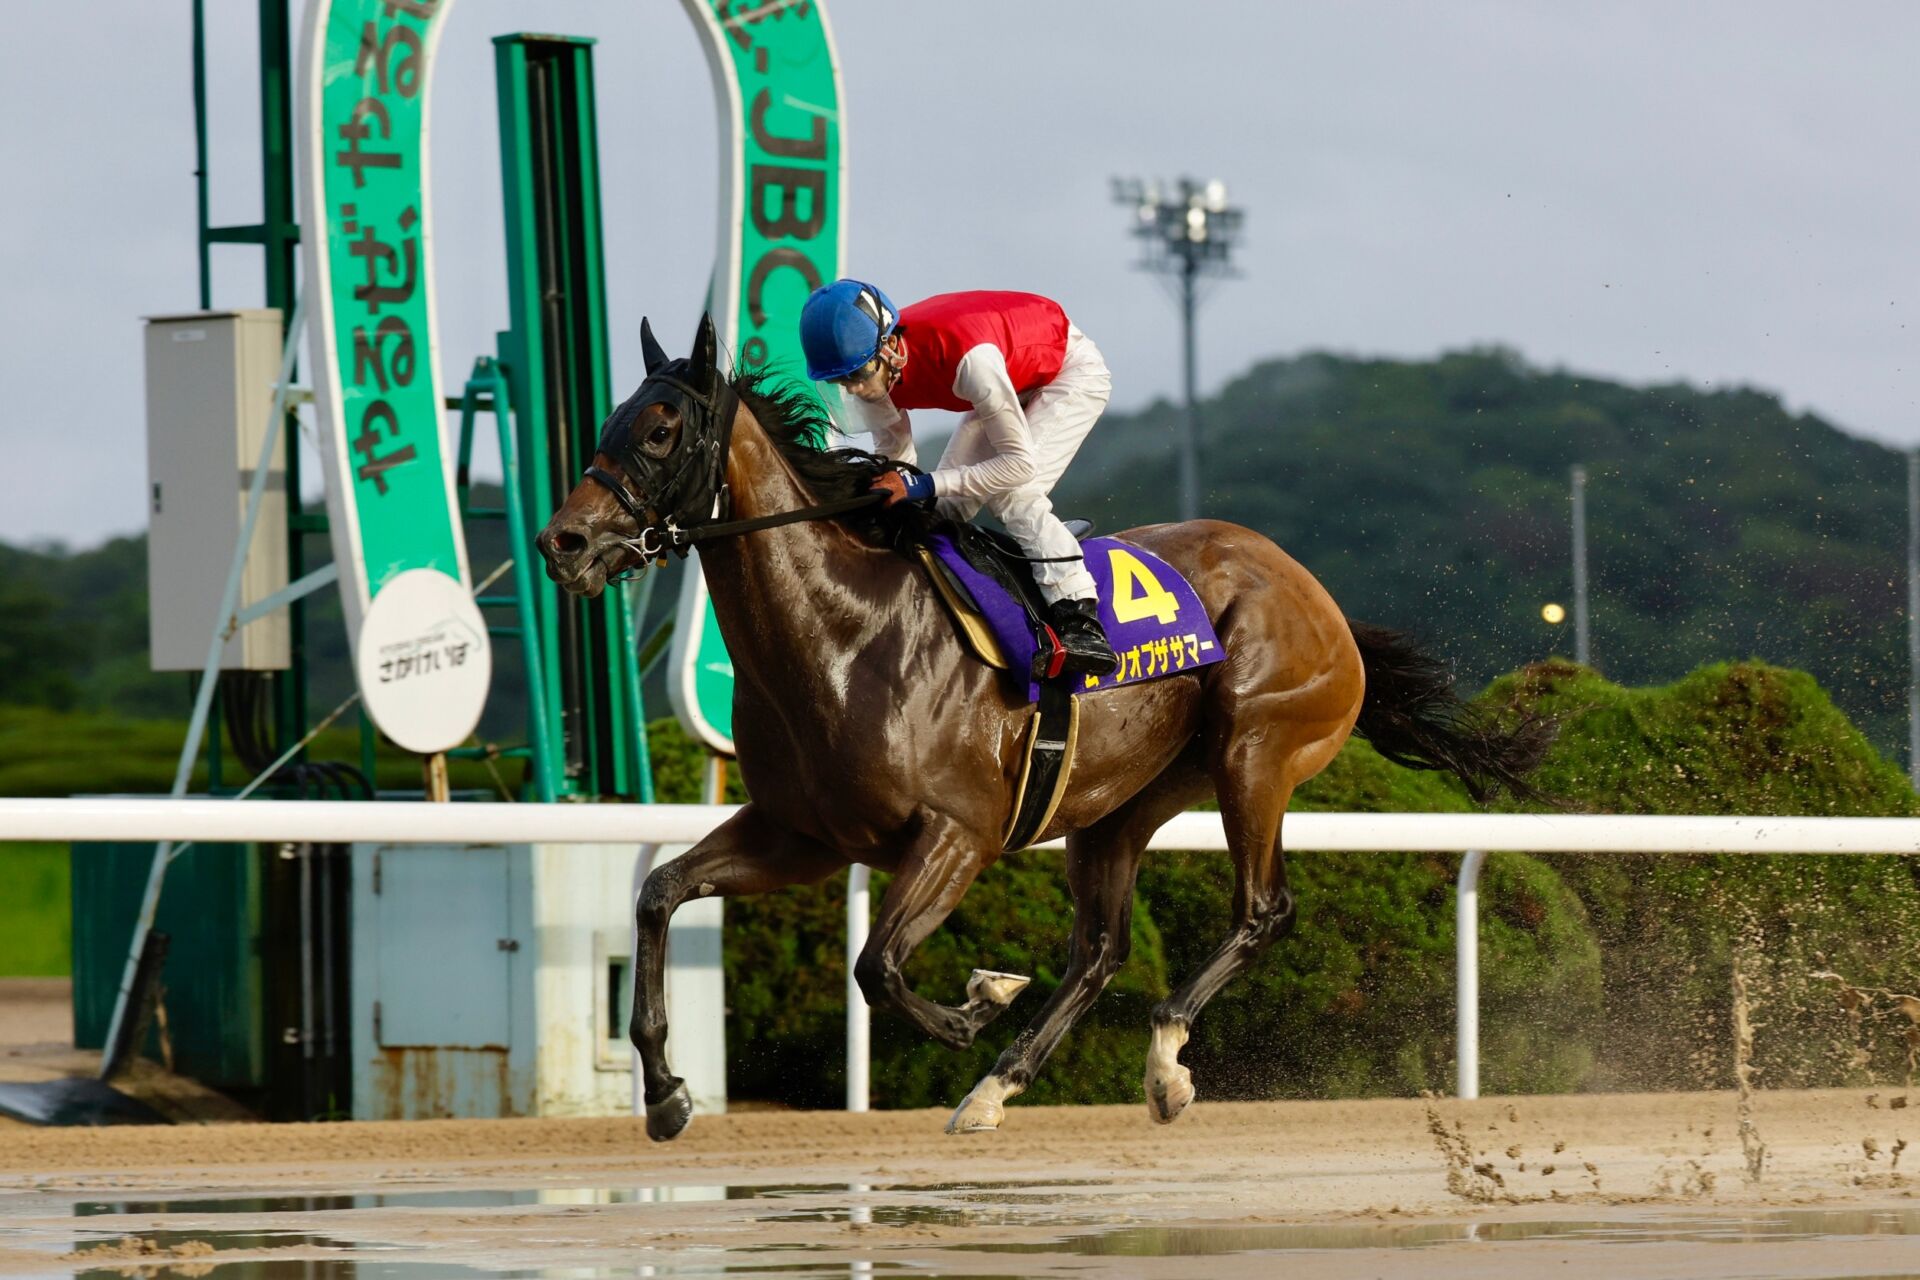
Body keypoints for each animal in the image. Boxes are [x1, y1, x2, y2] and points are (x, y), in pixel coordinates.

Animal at [533, 312, 1551, 1143]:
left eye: (660, 432)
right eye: (609, 424)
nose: (561, 544)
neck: (846, 633)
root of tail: (1322, 598)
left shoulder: (959, 832)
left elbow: (876, 965)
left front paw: (979, 1000)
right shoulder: (804, 833)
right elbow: (659, 893)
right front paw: (665, 1091)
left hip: (1254, 754)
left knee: (1263, 909)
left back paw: (1160, 1055)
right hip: (1122, 804)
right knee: (1100, 950)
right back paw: (1006, 1086)